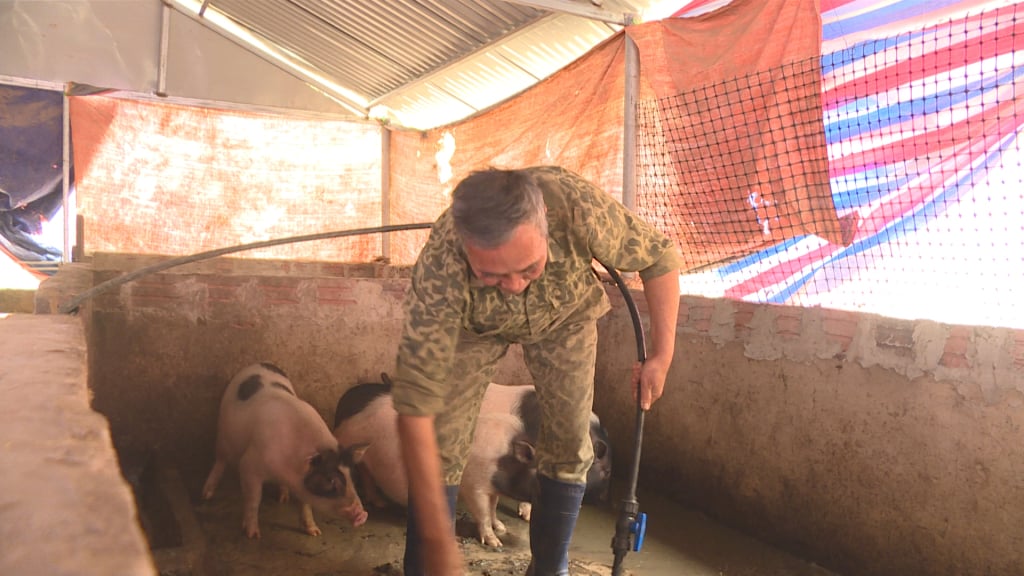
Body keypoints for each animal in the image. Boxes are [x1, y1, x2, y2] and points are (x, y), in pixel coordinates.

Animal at [201, 360, 370, 537]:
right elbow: (254, 499)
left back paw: (284, 499)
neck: (288, 468)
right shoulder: (249, 465)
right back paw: (206, 495)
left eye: (353, 477)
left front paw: (315, 532)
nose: (362, 515)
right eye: (330, 480)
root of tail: (259, 363)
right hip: (222, 436)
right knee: (220, 460)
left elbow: (305, 504)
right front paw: (253, 535)